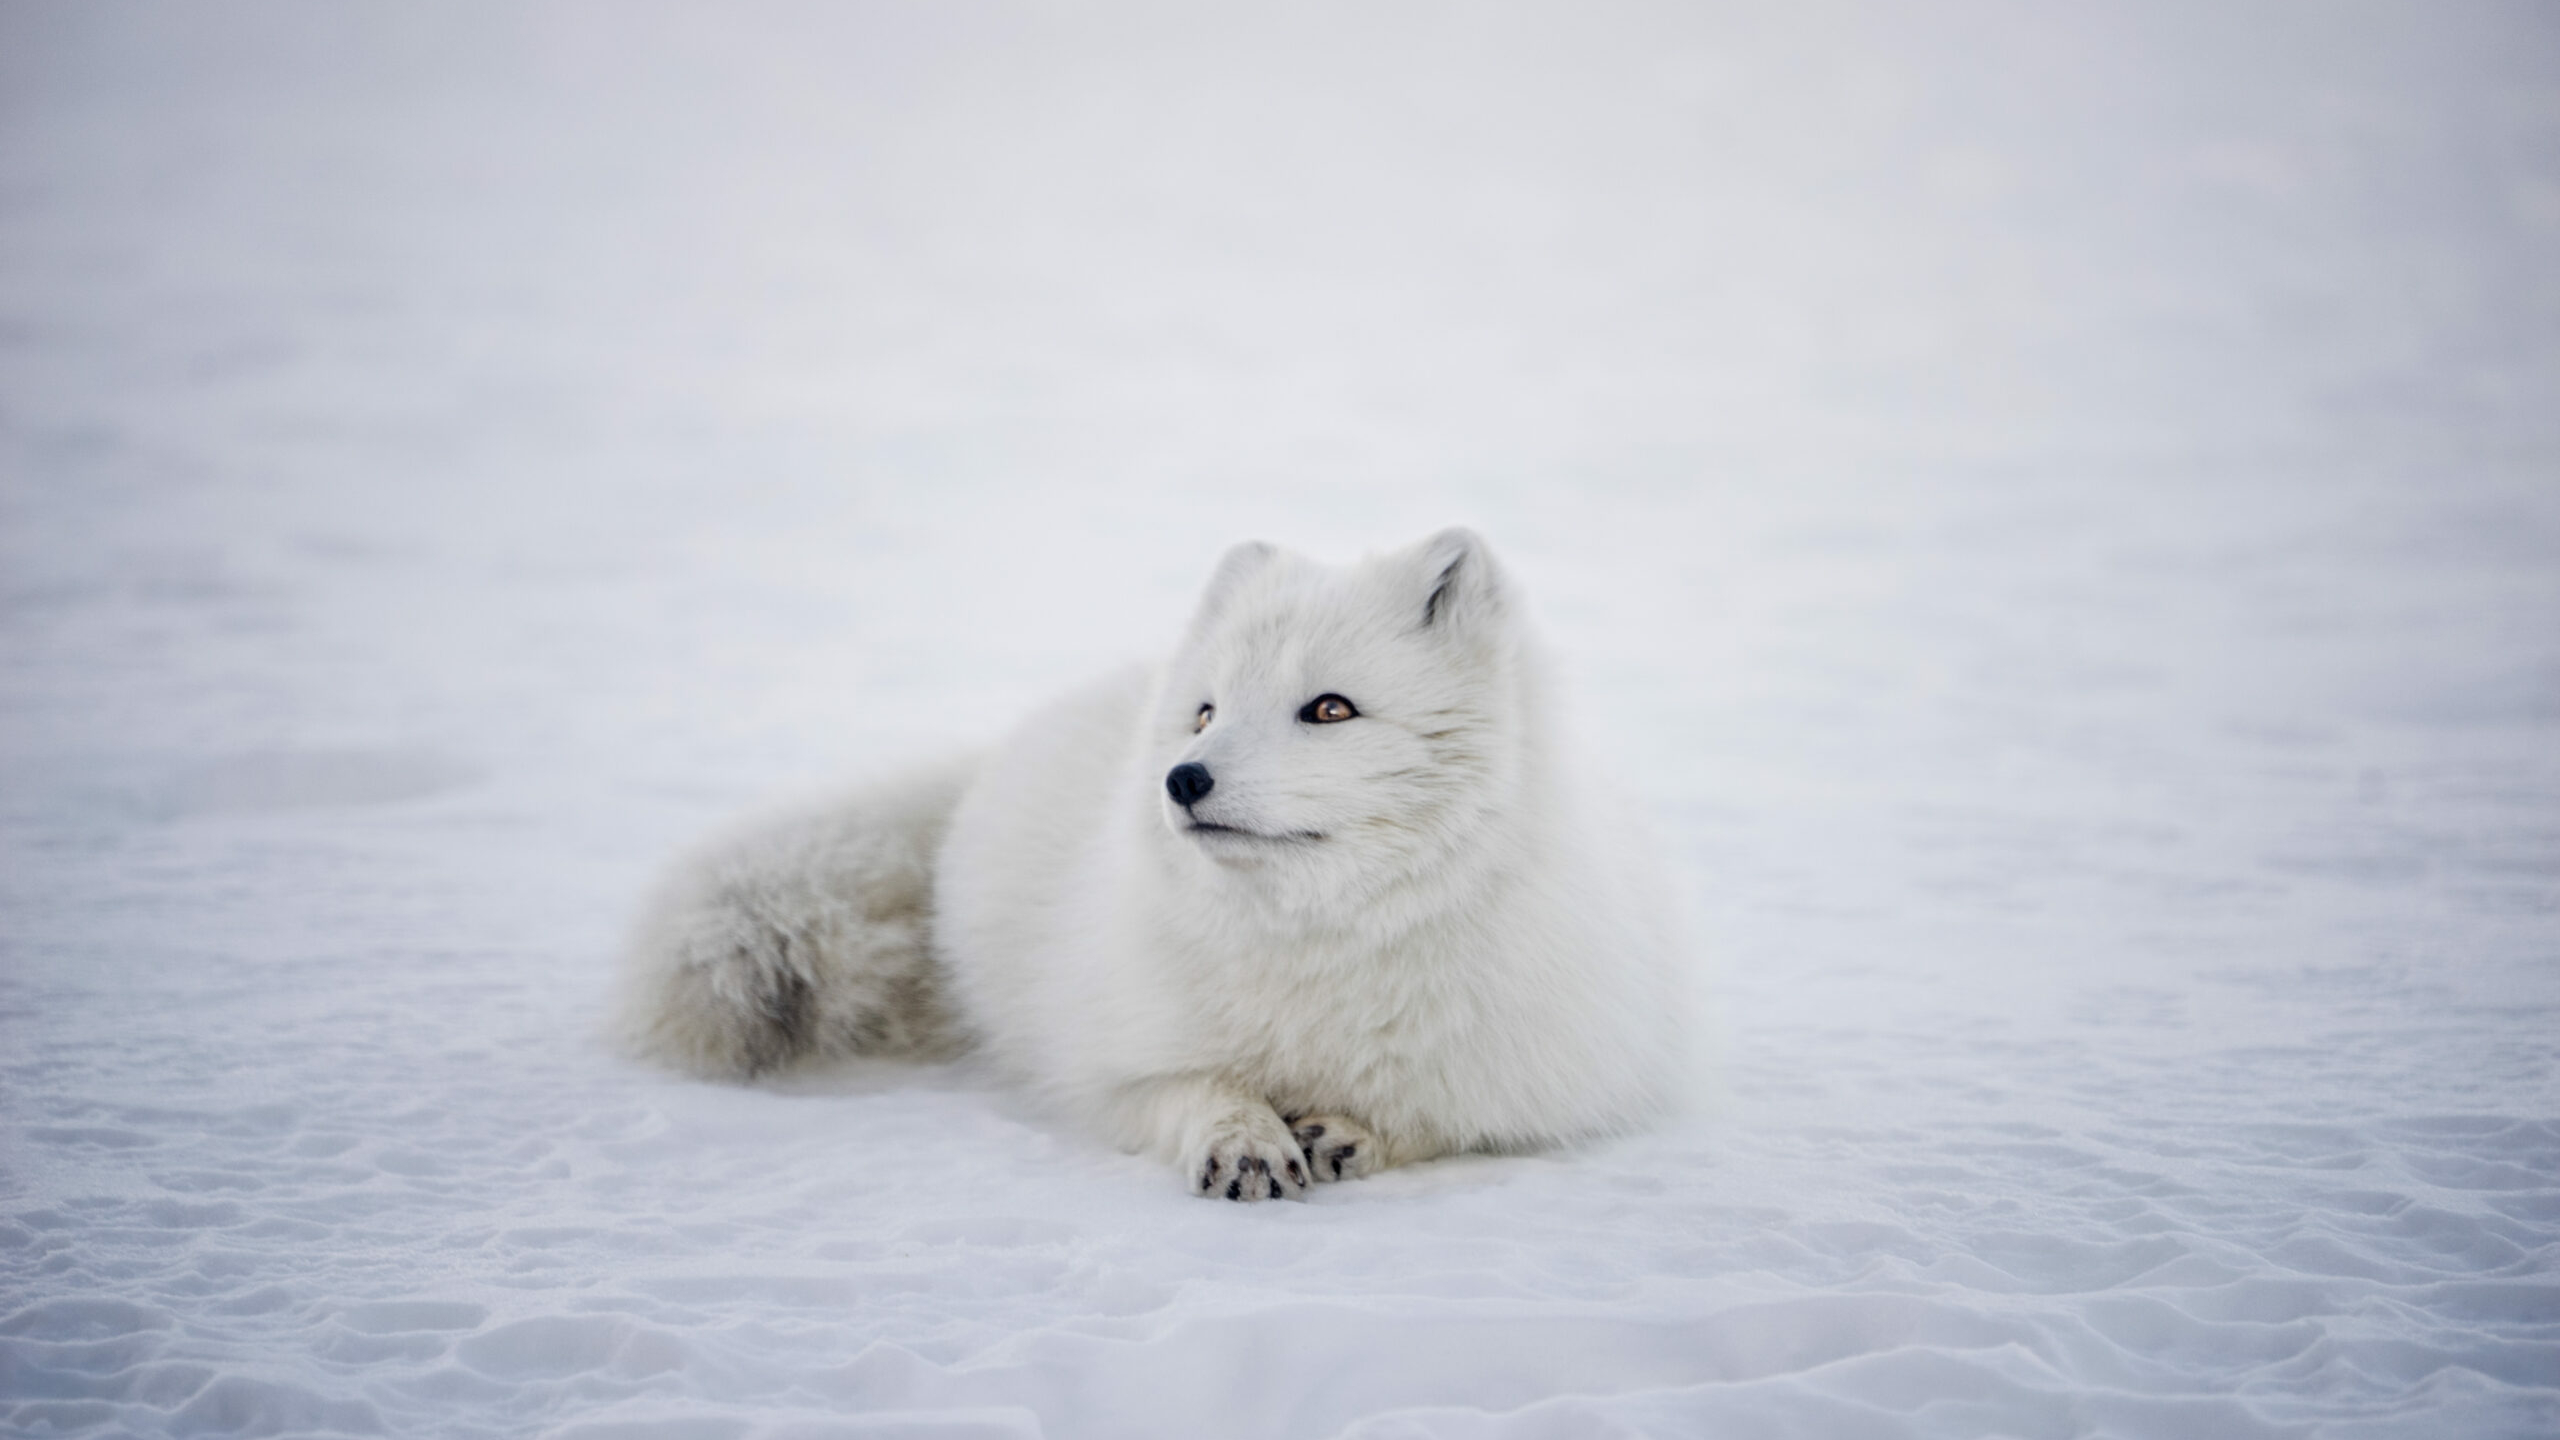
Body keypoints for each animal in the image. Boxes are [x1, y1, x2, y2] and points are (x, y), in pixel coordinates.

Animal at [614, 532, 1699, 1194]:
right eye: (1207, 712)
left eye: (1330, 709)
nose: (1181, 779)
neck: (1319, 946)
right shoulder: (1108, 1063)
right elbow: (1190, 1088)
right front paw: (1244, 1137)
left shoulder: (1546, 1081)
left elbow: (1445, 1116)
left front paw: (1354, 1131)